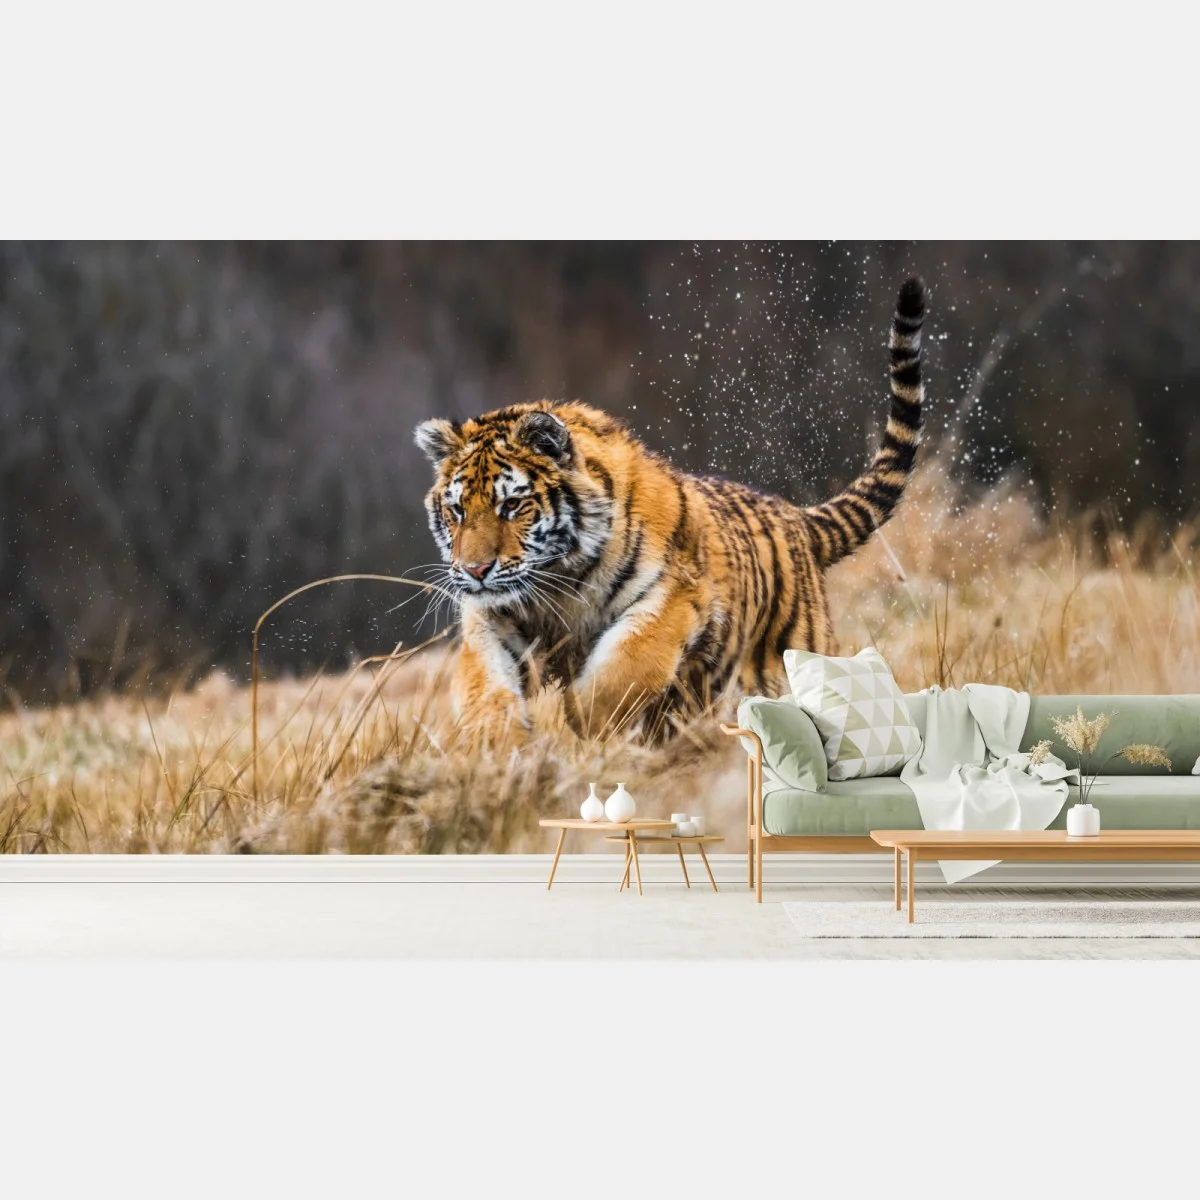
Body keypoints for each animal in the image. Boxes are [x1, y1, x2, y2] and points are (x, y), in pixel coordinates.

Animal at [414, 276, 926, 744]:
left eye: (512, 505)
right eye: (457, 510)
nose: (475, 570)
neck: (557, 585)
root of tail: (795, 517)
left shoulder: (673, 599)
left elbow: (623, 670)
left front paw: (581, 727)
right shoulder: (491, 619)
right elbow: (484, 684)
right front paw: (498, 745)